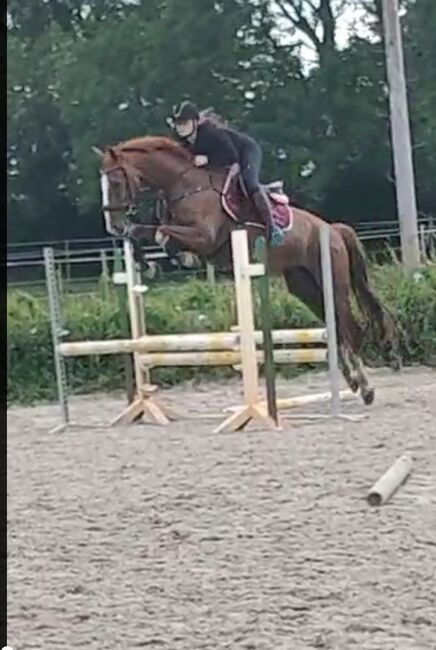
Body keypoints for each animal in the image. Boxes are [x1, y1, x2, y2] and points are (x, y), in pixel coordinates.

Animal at [95, 134, 402, 402]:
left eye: (115, 182)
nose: (113, 227)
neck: (183, 185)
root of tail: (333, 229)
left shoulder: (204, 237)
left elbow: (161, 234)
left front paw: (176, 258)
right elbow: (142, 231)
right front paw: (144, 262)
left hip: (333, 282)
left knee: (351, 328)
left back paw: (365, 387)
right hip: (304, 287)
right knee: (335, 328)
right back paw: (352, 382)